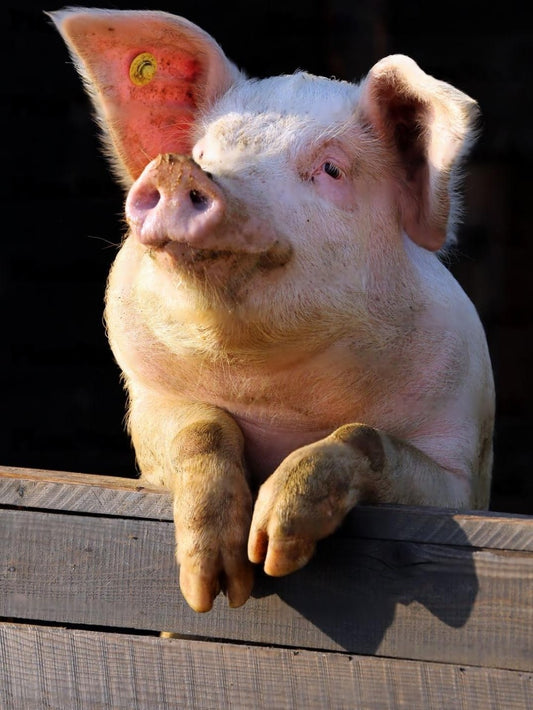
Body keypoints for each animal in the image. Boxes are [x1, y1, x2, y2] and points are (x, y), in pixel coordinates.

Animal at [51, 7, 495, 612]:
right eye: (204, 154)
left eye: (331, 169)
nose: (178, 169)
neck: (274, 392)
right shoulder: (149, 402)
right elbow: (202, 426)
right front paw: (213, 590)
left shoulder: (458, 463)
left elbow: (362, 434)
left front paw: (273, 551)